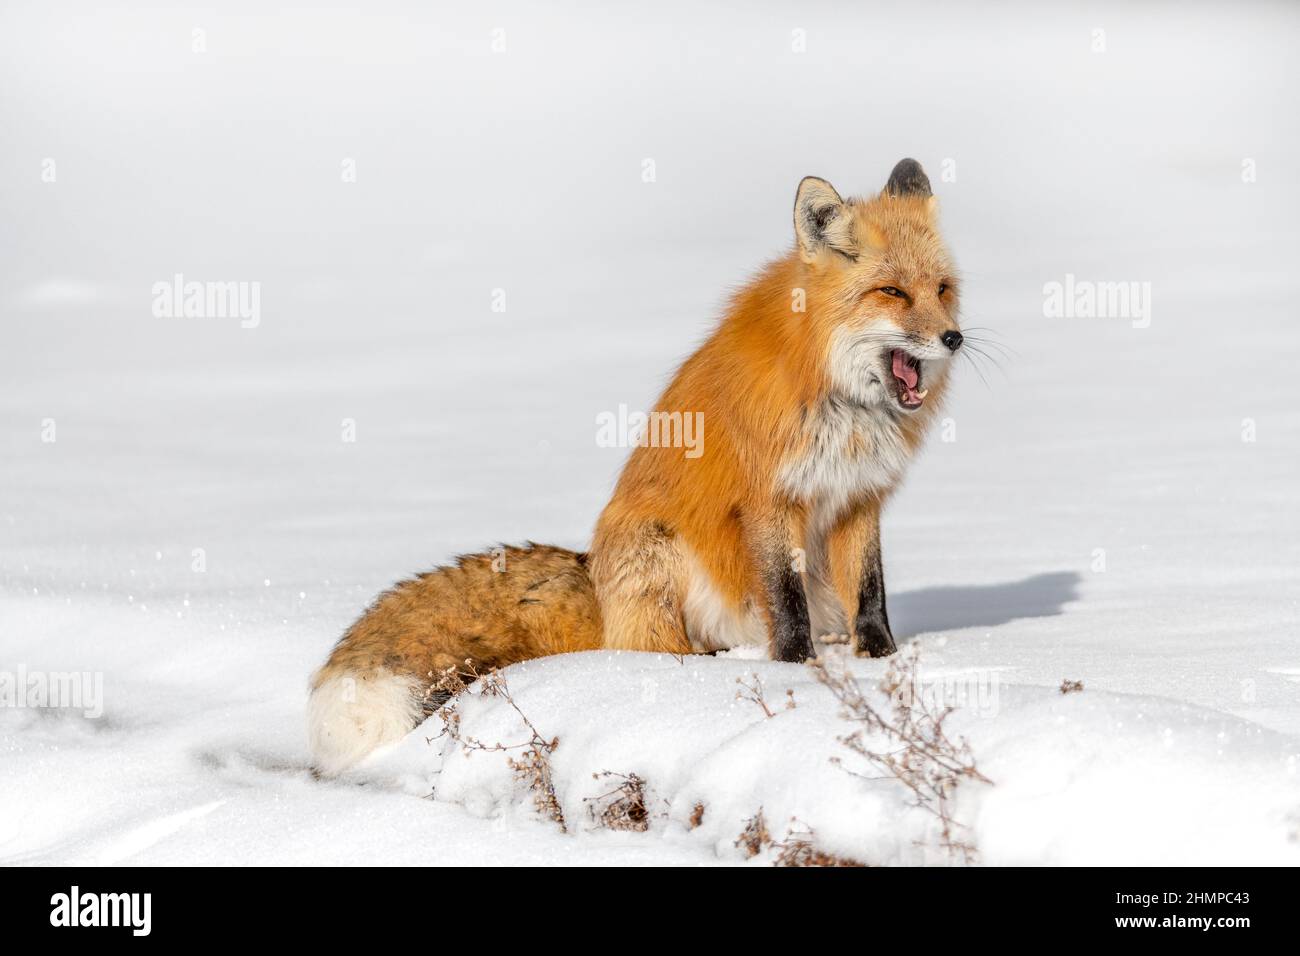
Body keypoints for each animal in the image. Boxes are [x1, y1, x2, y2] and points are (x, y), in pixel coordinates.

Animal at [304, 162, 956, 780]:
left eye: (943, 289)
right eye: (892, 291)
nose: (953, 337)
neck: (843, 403)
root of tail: (591, 572)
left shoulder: (858, 496)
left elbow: (870, 593)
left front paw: (883, 662)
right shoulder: (770, 500)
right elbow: (787, 601)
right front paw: (798, 671)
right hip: (658, 551)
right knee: (655, 651)